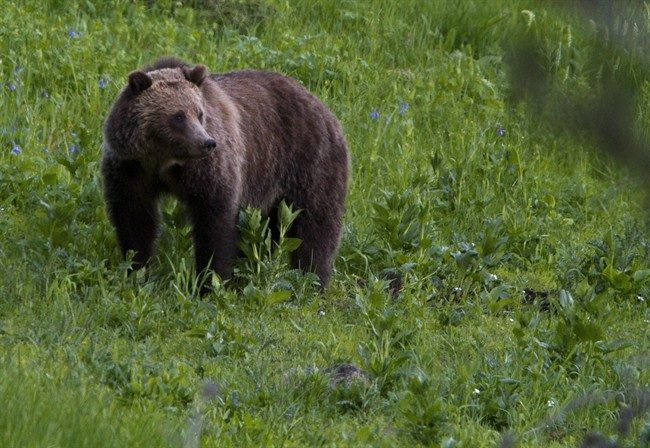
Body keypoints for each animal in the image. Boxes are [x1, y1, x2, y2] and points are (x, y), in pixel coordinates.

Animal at [101, 57, 349, 291]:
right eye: (178, 116)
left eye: (199, 113)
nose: (207, 143)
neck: (165, 161)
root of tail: (322, 106)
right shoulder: (131, 169)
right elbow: (134, 219)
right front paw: (137, 271)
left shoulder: (208, 171)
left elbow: (214, 222)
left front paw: (210, 282)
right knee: (270, 230)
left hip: (309, 162)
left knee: (316, 224)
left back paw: (312, 279)